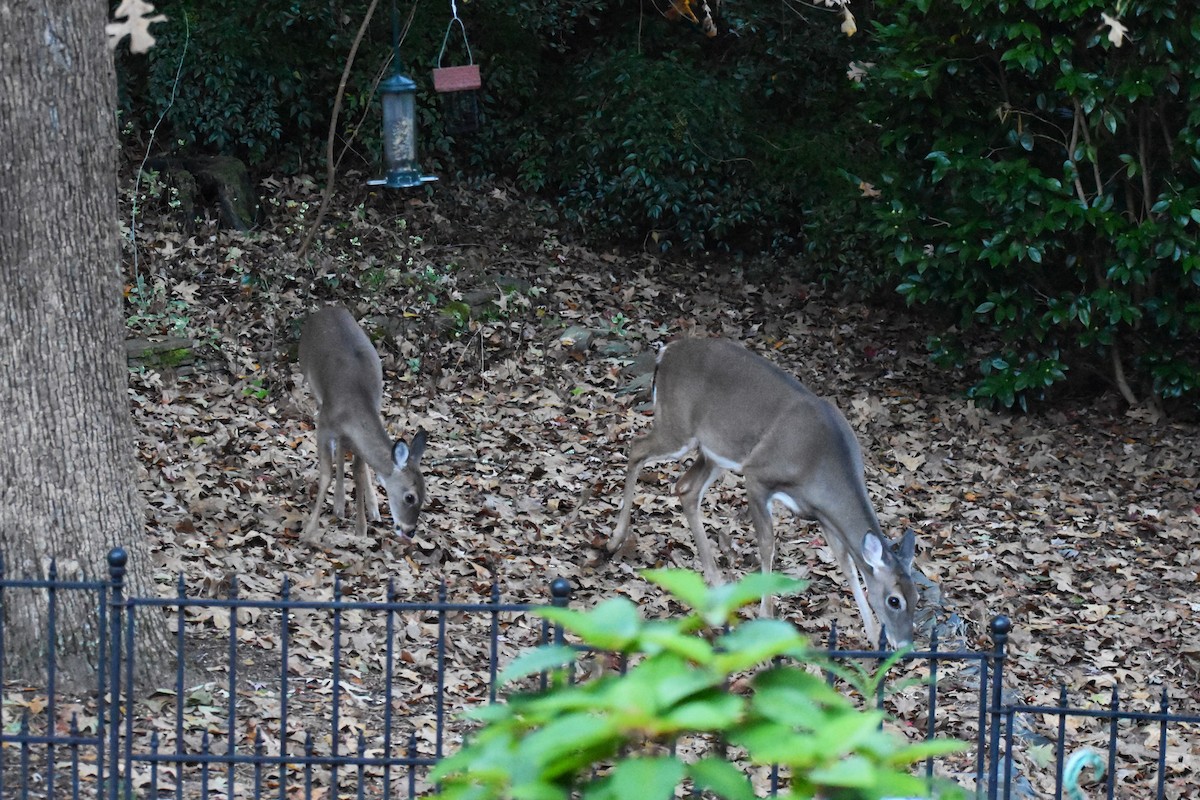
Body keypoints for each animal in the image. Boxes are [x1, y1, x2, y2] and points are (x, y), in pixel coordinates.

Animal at [298, 306, 427, 545]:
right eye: (409, 497)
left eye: (425, 496)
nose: (410, 531)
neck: (354, 406)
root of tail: (327, 308)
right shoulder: (324, 424)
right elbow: (326, 475)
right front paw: (309, 532)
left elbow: (358, 471)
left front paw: (361, 528)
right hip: (312, 385)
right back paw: (339, 504)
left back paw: (369, 507)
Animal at [608, 337, 918, 648]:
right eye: (894, 600)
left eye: (916, 597)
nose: (905, 645)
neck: (820, 467)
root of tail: (665, 351)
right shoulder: (757, 475)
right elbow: (768, 544)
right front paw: (766, 617)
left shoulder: (823, 515)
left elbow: (848, 565)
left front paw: (871, 636)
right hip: (677, 426)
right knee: (637, 448)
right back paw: (614, 540)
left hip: (714, 451)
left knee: (686, 487)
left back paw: (715, 585)